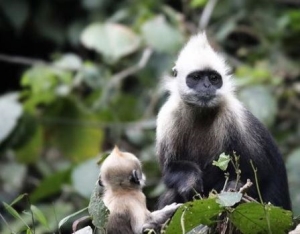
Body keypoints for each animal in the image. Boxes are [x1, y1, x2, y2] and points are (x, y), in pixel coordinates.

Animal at [156, 32, 292, 210]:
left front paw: (231, 186)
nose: (207, 86)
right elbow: (169, 169)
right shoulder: (167, 117)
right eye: (196, 77)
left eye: (214, 78)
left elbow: (261, 173)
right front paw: (190, 182)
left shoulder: (235, 117)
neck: (202, 114)